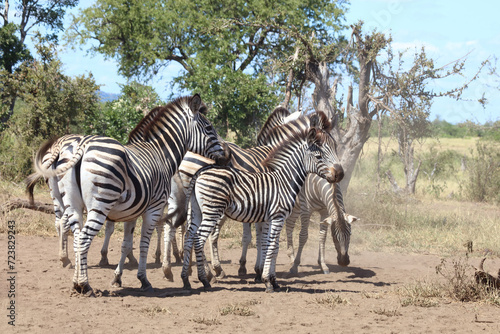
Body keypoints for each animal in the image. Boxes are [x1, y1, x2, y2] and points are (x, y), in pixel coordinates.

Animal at [28, 94, 228, 294]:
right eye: (209, 128)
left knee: (74, 235)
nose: (225, 157)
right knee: (83, 238)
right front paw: (144, 279)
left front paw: (118, 277)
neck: (161, 154)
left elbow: (126, 244)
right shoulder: (154, 208)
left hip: (70, 202)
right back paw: (84, 283)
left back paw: (75, 279)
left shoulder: (131, 211)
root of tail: (81, 145)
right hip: (100, 203)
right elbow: (143, 243)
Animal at [183, 113, 344, 292]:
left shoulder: (268, 218)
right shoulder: (278, 216)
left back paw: (186, 279)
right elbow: (273, 246)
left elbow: (270, 246)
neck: (284, 179)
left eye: (335, 147)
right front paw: (268, 281)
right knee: (199, 238)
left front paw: (269, 279)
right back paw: (205, 279)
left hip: (196, 210)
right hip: (212, 210)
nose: (340, 174)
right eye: (318, 156)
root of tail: (201, 172)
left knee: (189, 236)